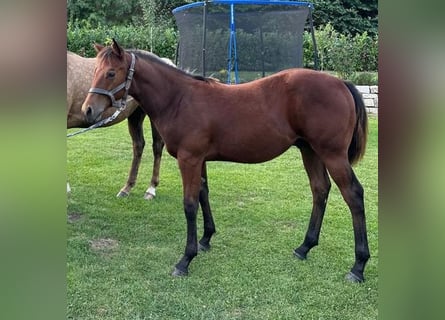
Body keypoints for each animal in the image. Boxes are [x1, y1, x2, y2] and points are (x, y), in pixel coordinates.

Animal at [67, 50, 173, 199]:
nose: (87, 110)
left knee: (157, 147)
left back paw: (151, 189)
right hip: (135, 116)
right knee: (138, 145)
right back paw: (127, 187)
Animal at [81, 40, 370, 282]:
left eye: (111, 73)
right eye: (95, 71)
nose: (88, 111)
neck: (179, 99)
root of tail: (342, 83)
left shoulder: (189, 160)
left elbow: (189, 205)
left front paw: (185, 260)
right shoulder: (200, 160)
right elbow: (203, 194)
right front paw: (205, 239)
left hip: (332, 154)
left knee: (353, 194)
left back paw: (358, 267)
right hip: (309, 151)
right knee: (320, 190)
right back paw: (304, 247)